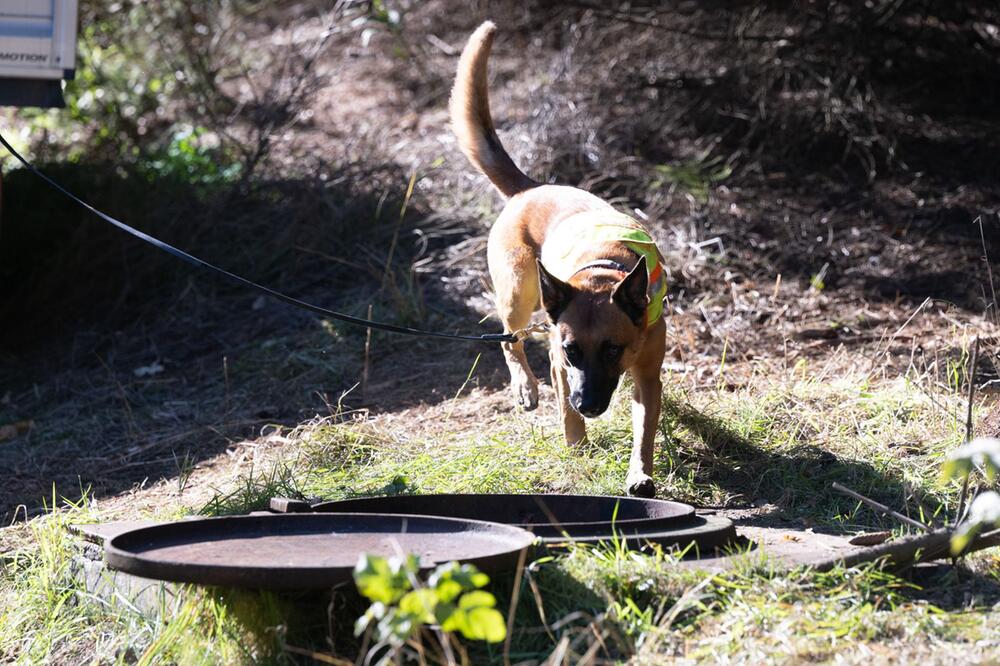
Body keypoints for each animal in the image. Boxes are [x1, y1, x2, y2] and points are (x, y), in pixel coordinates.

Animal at [450, 20, 668, 496]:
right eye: (572, 350)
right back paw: (525, 388)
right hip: (521, 292)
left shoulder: (646, 375)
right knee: (509, 338)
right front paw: (576, 442)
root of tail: (529, 188)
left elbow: (644, 431)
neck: (603, 275)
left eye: (612, 349)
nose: (588, 405)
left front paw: (639, 474)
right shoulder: (559, 359)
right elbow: (562, 399)